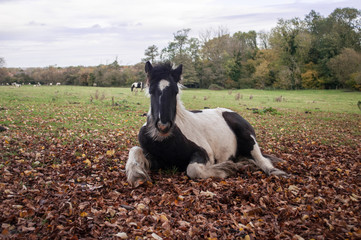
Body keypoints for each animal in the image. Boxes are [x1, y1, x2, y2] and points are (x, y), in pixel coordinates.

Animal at [125, 61, 286, 187]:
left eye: (175, 91)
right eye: (151, 90)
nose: (163, 126)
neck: (165, 141)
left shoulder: (204, 153)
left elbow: (193, 170)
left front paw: (227, 168)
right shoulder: (155, 158)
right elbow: (134, 151)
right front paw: (137, 176)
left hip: (247, 135)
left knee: (261, 159)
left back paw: (275, 172)